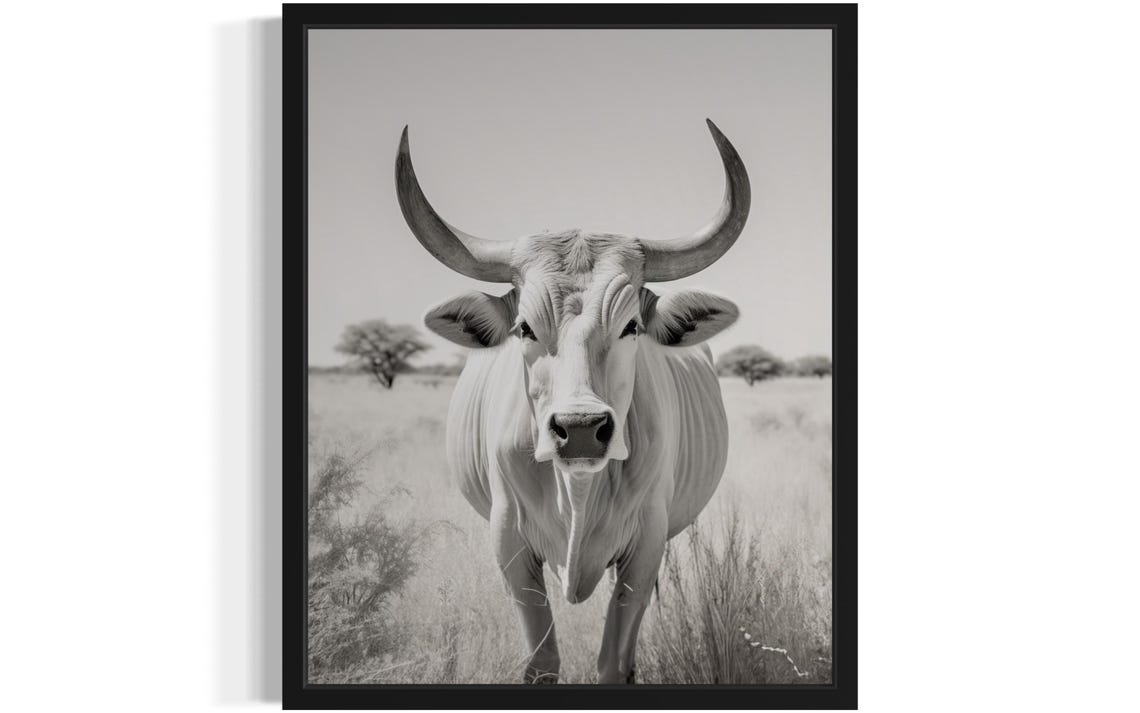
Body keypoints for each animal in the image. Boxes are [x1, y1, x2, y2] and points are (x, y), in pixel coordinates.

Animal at [394, 120, 750, 684]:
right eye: (524, 327)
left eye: (631, 326)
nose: (581, 428)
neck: (578, 490)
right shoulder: (511, 546)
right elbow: (542, 660)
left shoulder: (645, 548)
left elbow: (613, 660)